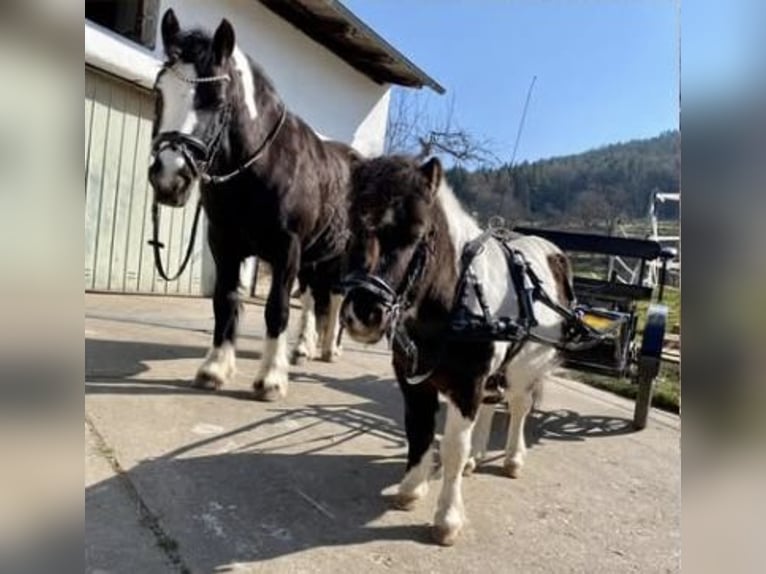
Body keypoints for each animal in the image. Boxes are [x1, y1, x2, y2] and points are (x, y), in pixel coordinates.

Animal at [148, 11, 356, 402]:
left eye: (216, 99)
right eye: (158, 92)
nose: (169, 177)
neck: (262, 166)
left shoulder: (287, 249)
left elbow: (276, 309)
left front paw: (271, 379)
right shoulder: (224, 243)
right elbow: (225, 300)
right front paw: (215, 369)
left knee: (336, 299)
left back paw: (330, 349)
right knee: (311, 299)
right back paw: (303, 349)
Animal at [342, 155, 576, 548]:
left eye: (418, 233)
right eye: (353, 227)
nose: (363, 314)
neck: (459, 298)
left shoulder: (467, 384)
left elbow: (452, 446)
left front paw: (447, 518)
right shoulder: (414, 381)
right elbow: (420, 432)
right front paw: (411, 488)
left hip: (525, 367)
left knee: (518, 406)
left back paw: (512, 459)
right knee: (492, 403)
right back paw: (477, 457)